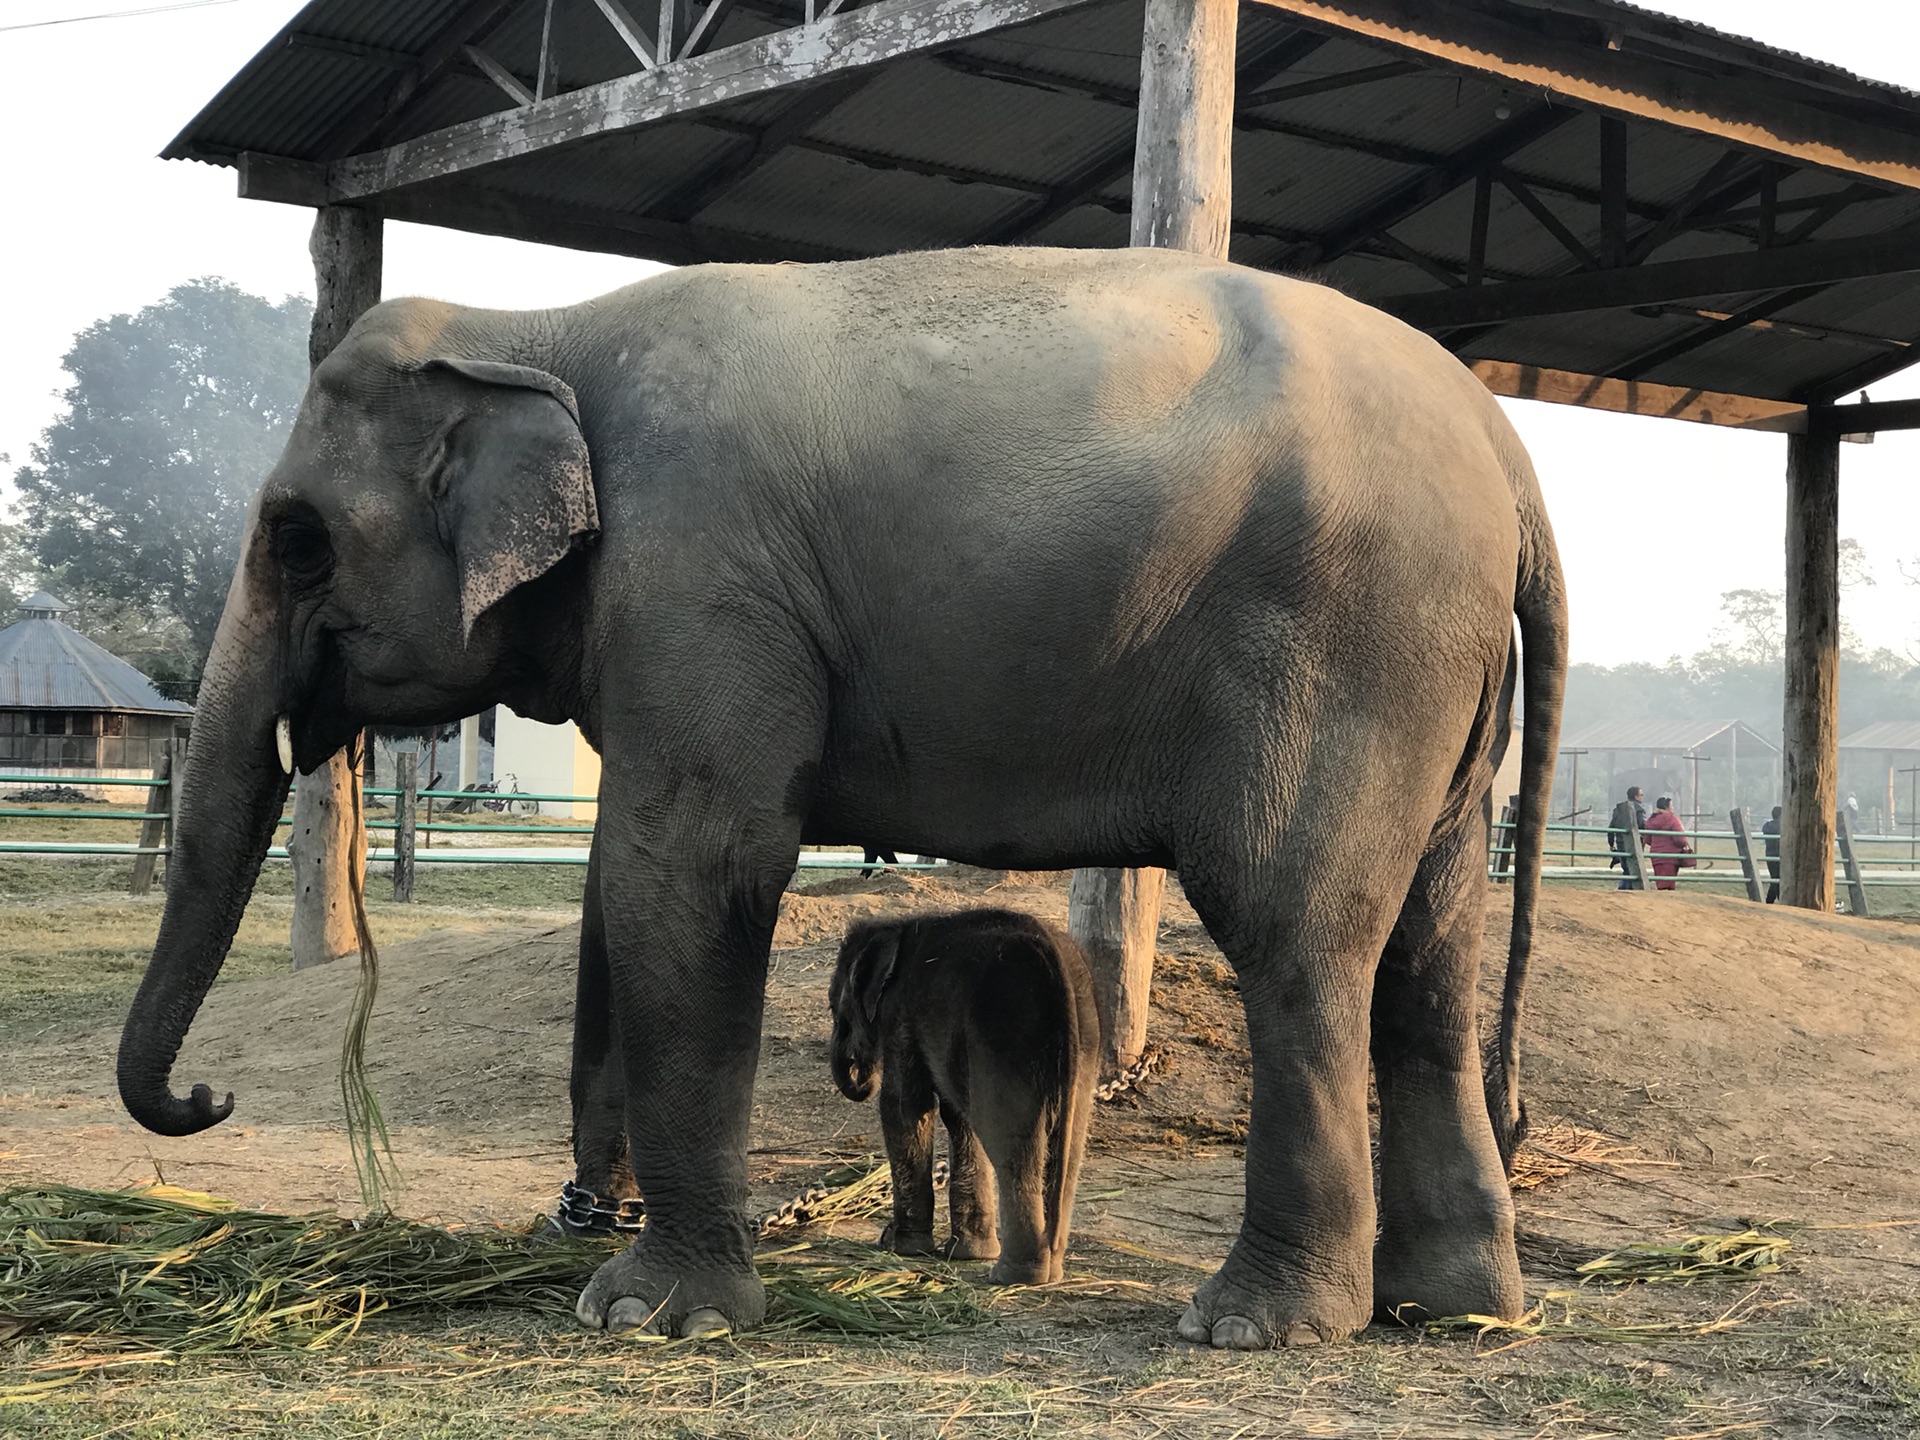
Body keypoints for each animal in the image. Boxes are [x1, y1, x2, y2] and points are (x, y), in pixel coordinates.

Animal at [821, 906, 1098, 1290]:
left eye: (835, 1008)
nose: (859, 1075)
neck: (897, 926)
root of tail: (1057, 966)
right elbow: (959, 1118)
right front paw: (967, 1253)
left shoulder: (901, 1013)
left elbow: (904, 1107)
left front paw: (899, 1245)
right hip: (1083, 1047)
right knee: (1066, 1149)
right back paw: (1046, 1269)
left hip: (1007, 1036)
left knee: (1013, 1146)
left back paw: (1011, 1276)